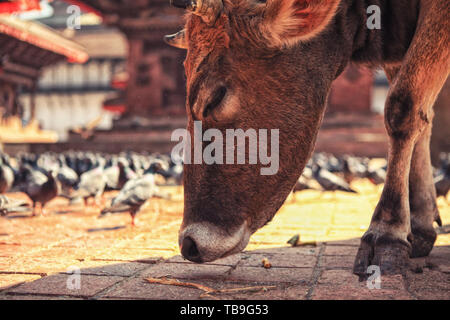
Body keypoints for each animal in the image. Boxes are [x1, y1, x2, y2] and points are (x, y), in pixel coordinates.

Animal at [165, 0, 450, 278]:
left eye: (215, 98)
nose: (189, 243)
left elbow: (402, 106)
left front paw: (386, 233)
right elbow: (422, 114)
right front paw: (419, 225)